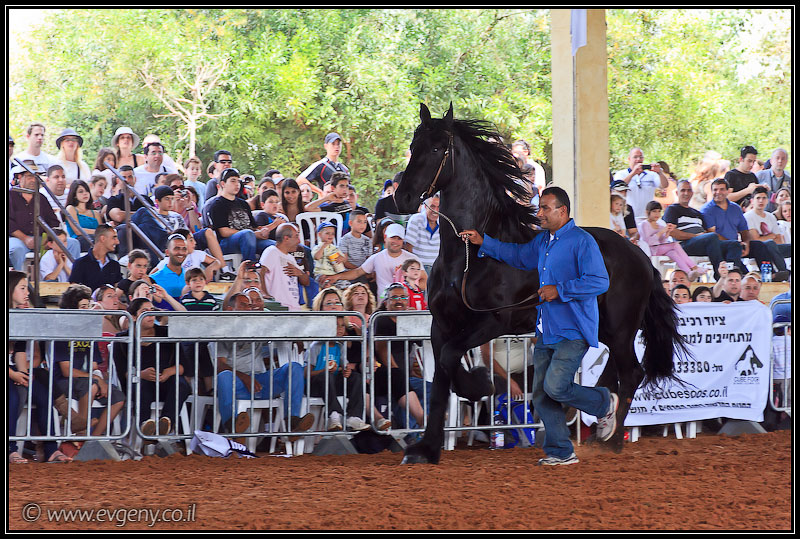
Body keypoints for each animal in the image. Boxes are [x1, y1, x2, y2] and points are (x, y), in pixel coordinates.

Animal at [393, 103, 689, 464]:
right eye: (413, 146)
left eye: (437, 149)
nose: (402, 197)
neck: (465, 256)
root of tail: (639, 255)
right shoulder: (442, 323)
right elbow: (441, 377)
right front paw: (426, 446)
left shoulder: (493, 321)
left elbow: (450, 360)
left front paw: (479, 387)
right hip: (604, 328)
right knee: (613, 374)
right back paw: (601, 428)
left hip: (621, 329)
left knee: (631, 373)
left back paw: (612, 440)